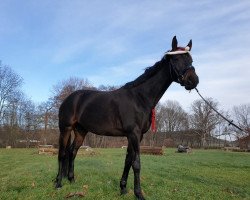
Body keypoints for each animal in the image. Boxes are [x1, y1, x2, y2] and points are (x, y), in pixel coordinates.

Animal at [55, 36, 199, 199]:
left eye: (191, 60)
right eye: (176, 59)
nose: (193, 80)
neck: (139, 98)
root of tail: (70, 98)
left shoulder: (136, 135)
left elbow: (128, 161)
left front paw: (123, 188)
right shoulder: (133, 133)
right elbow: (136, 163)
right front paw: (139, 193)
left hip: (80, 131)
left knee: (72, 152)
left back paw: (71, 180)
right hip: (65, 128)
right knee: (62, 153)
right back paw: (58, 183)